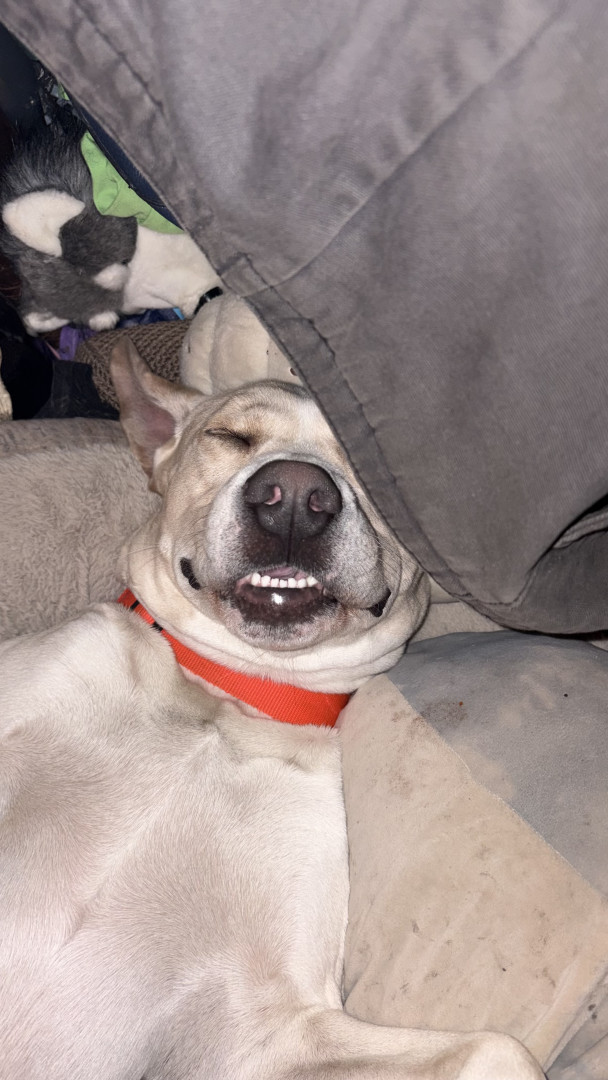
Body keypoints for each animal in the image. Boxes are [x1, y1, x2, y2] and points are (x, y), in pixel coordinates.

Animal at [0, 341, 544, 1080]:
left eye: (365, 470)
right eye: (229, 436)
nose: (294, 499)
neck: (228, 697)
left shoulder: (264, 1028)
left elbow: (497, 1047)